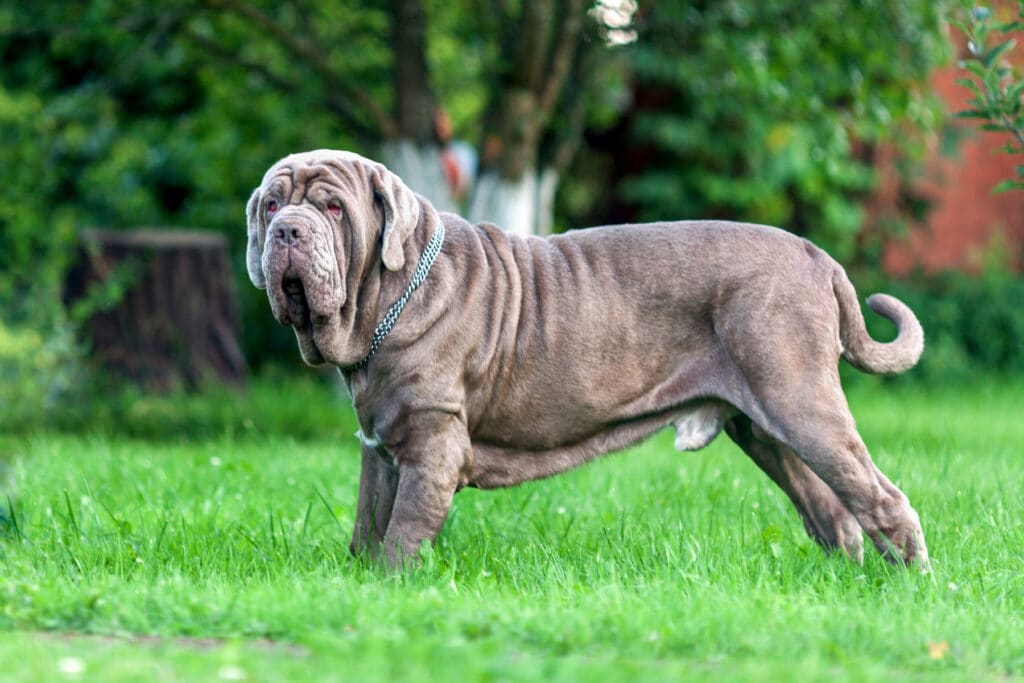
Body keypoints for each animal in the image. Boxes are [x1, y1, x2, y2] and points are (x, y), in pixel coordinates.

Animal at [245, 150, 929, 573]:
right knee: (830, 510)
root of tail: (820, 258)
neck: (389, 295)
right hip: (765, 427)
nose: (288, 232)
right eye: (272, 205)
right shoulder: (381, 446)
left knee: (882, 497)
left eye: (334, 208)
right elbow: (368, 526)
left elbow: (402, 536)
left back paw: (914, 583)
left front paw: (392, 587)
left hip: (800, 402)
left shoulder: (431, 445)